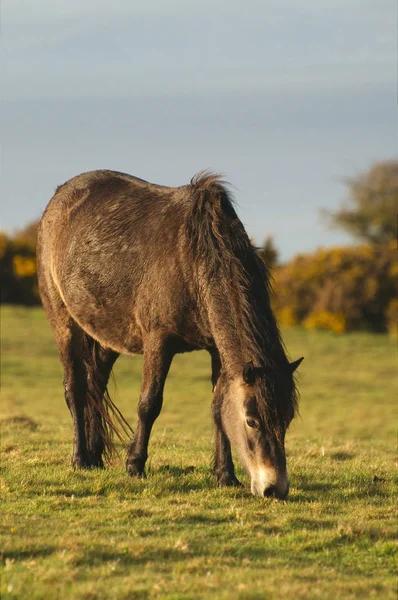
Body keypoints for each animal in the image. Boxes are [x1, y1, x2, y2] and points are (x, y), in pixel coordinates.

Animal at [37, 169, 304, 496]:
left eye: (287, 419)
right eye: (252, 421)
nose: (274, 488)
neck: (195, 260)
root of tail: (60, 197)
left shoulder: (217, 349)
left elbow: (218, 409)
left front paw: (225, 476)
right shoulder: (159, 341)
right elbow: (149, 404)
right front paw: (134, 465)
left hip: (106, 336)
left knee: (95, 387)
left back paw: (95, 456)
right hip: (63, 321)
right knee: (74, 388)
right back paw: (80, 459)